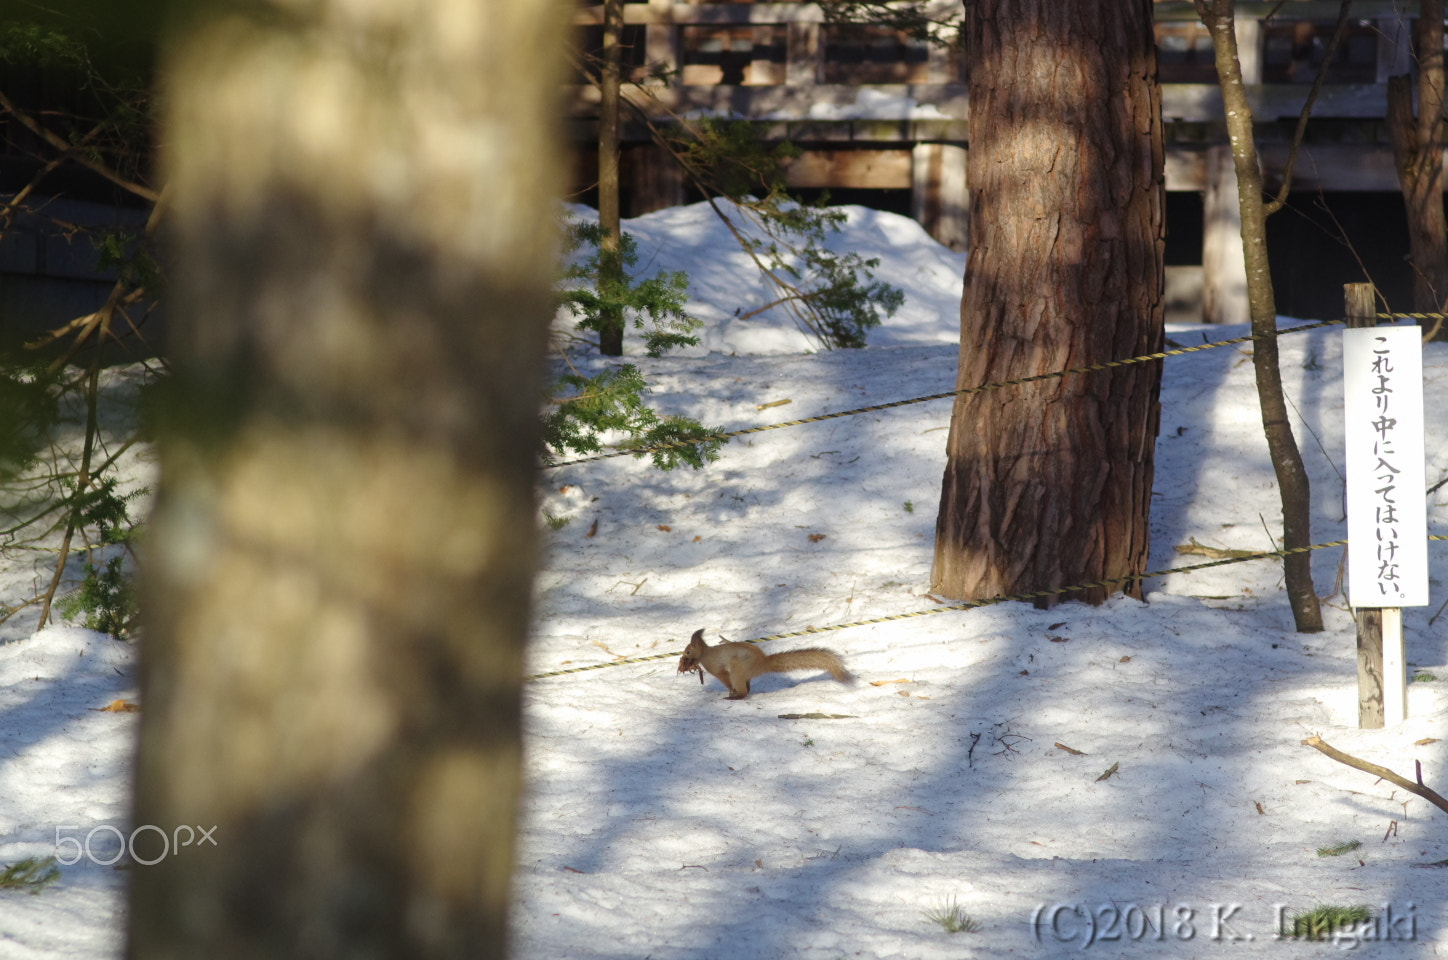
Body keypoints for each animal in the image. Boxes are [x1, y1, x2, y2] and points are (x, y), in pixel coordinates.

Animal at [677, 628, 845, 703]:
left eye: (688, 651)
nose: (682, 658)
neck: (705, 653)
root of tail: (762, 662)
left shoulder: (718, 670)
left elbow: (725, 679)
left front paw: (730, 690)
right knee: (748, 687)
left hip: (738, 671)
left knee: (744, 691)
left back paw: (734, 697)